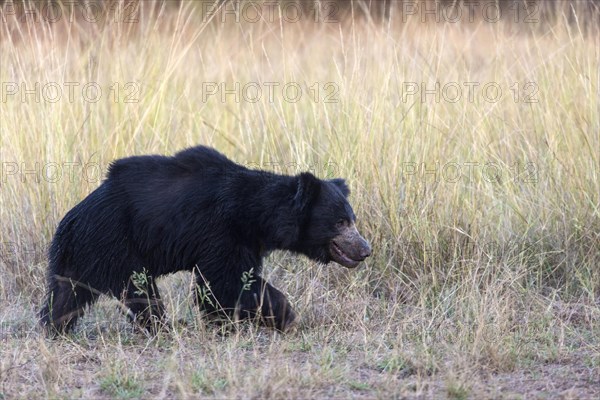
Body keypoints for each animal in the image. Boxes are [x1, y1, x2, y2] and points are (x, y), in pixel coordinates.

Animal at [39, 145, 370, 332]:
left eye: (351, 219)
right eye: (340, 222)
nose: (365, 249)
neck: (256, 216)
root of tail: (71, 221)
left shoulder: (247, 241)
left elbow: (221, 285)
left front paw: (223, 321)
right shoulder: (221, 229)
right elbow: (226, 280)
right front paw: (285, 315)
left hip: (80, 256)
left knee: (65, 295)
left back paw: (55, 327)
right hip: (115, 244)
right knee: (141, 291)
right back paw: (159, 327)